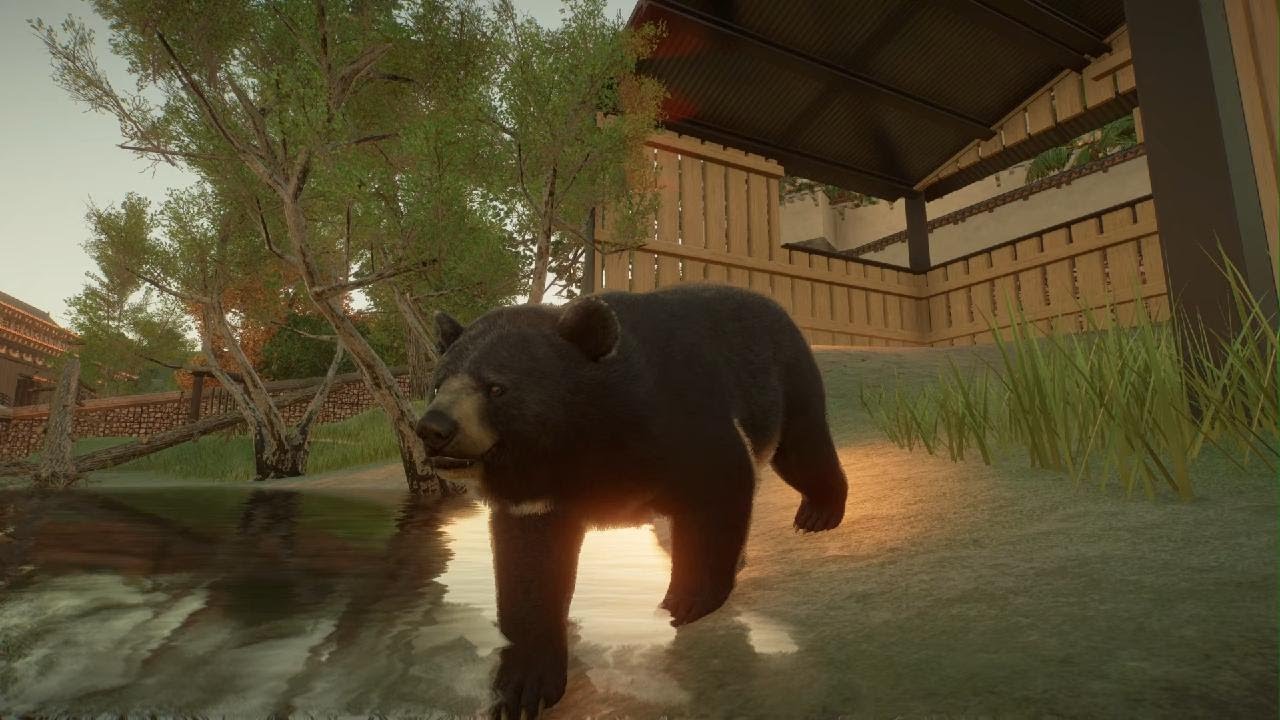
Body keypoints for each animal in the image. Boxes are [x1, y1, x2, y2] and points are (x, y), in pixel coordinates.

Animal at [416, 283, 848, 719]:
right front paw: (521, 688)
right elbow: (530, 567)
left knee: (802, 447)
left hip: (787, 375)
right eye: (437, 384)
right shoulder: (539, 496)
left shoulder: (675, 418)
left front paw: (685, 600)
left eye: (496, 387)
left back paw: (819, 511)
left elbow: (717, 487)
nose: (433, 429)